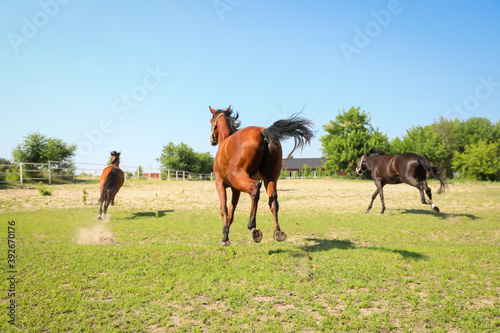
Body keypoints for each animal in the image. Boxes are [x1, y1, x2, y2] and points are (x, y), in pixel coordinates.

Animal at [210, 105, 312, 245]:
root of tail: (264, 133)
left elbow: (224, 209)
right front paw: (226, 235)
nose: (212, 139)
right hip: (270, 178)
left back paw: (252, 226)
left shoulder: (220, 184)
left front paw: (225, 238)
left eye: (211, 121)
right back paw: (277, 231)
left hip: (239, 178)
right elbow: (231, 212)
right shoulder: (236, 189)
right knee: (273, 200)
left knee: (254, 189)